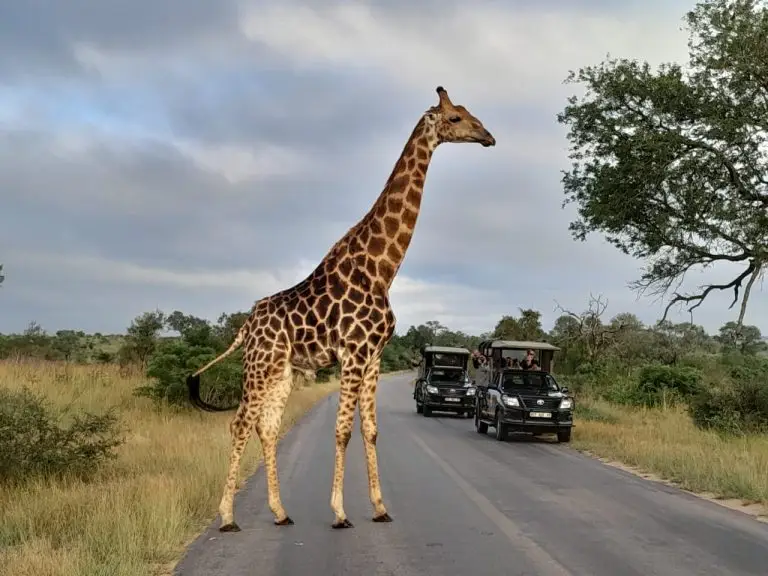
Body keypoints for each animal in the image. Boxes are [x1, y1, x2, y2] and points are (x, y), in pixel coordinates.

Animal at [186, 86, 496, 531]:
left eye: (469, 113)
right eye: (455, 117)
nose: (488, 136)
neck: (382, 268)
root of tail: (245, 325)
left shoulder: (374, 356)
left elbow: (370, 431)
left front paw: (380, 508)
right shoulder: (353, 353)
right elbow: (343, 432)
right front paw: (339, 511)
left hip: (281, 371)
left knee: (267, 427)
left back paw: (280, 512)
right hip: (259, 366)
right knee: (240, 422)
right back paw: (227, 516)